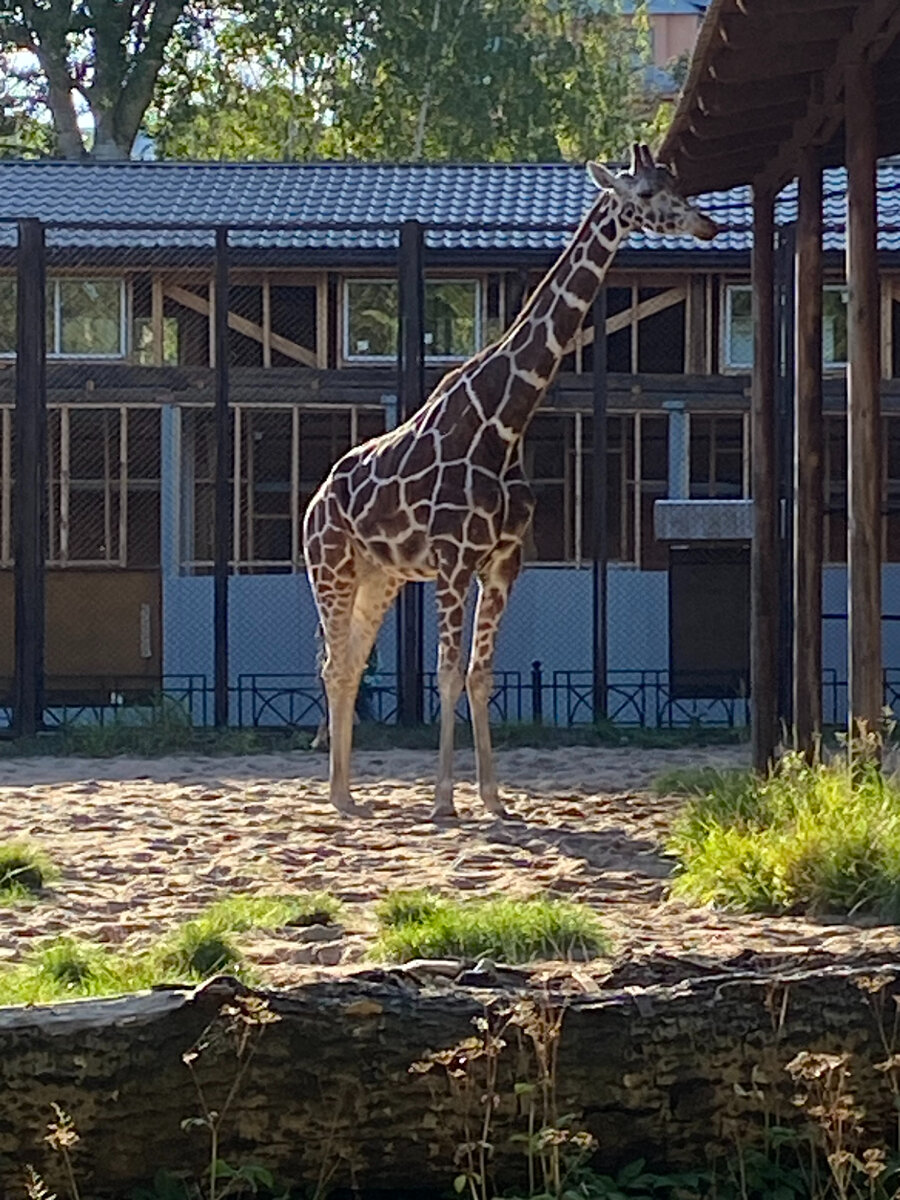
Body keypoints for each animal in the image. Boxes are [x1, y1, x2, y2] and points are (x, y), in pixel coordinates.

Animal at [303, 138, 720, 816]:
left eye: (677, 185)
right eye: (647, 193)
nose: (708, 225)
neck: (504, 423)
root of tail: (315, 502)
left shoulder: (503, 561)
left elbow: (481, 673)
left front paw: (495, 798)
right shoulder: (452, 561)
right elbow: (447, 672)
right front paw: (444, 801)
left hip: (379, 577)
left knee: (352, 662)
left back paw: (347, 792)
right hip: (330, 567)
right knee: (334, 664)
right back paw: (338, 798)